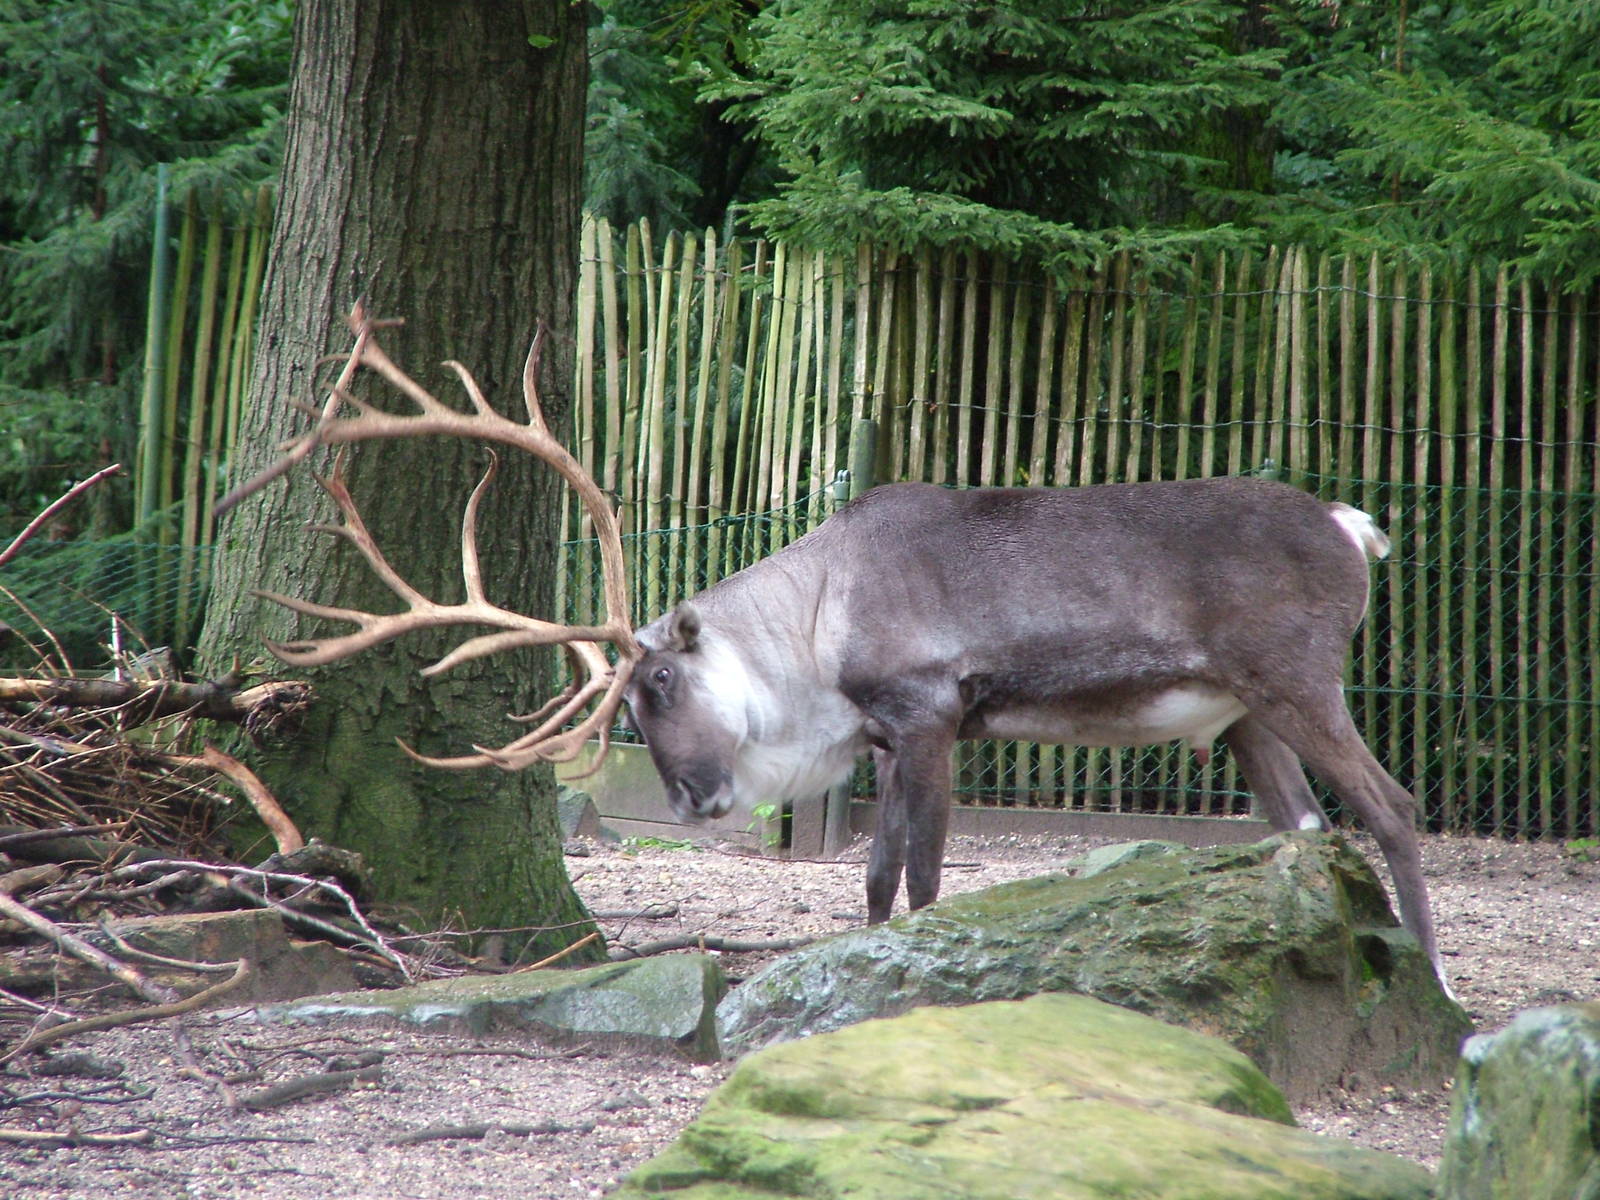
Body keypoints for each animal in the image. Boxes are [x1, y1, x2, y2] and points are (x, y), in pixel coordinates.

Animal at [225, 305, 1449, 996]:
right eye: (629, 703)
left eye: (658, 678)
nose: (696, 802)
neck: (818, 629)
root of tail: (1357, 527)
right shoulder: (883, 740)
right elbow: (871, 881)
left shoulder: (932, 712)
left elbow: (925, 881)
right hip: (1241, 714)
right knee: (1303, 831)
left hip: (1298, 676)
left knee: (1392, 807)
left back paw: (1436, 983)